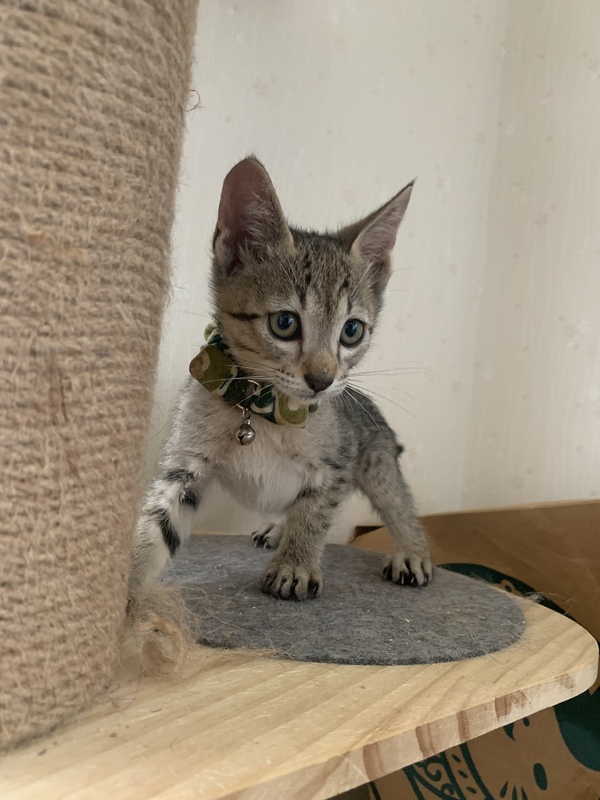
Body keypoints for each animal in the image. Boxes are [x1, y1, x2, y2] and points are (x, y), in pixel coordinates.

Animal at [129, 156, 432, 604]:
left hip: (377, 462)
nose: (323, 379)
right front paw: (123, 589)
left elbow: (314, 513)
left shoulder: (335, 468)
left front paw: (295, 564)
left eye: (352, 331)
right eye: (285, 323)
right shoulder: (185, 467)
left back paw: (412, 551)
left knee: (400, 506)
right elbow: (155, 522)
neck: (263, 407)